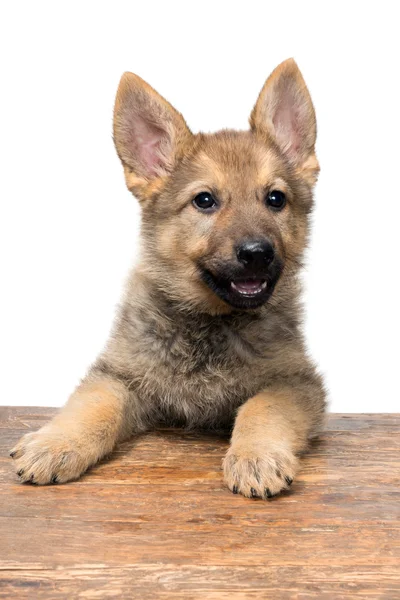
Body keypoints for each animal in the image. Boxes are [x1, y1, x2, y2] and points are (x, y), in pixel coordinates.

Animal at [10, 58, 326, 500]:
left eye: (275, 199)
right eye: (205, 200)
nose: (257, 253)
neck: (209, 325)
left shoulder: (296, 381)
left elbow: (261, 408)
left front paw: (256, 456)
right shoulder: (119, 376)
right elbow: (93, 406)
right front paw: (56, 443)